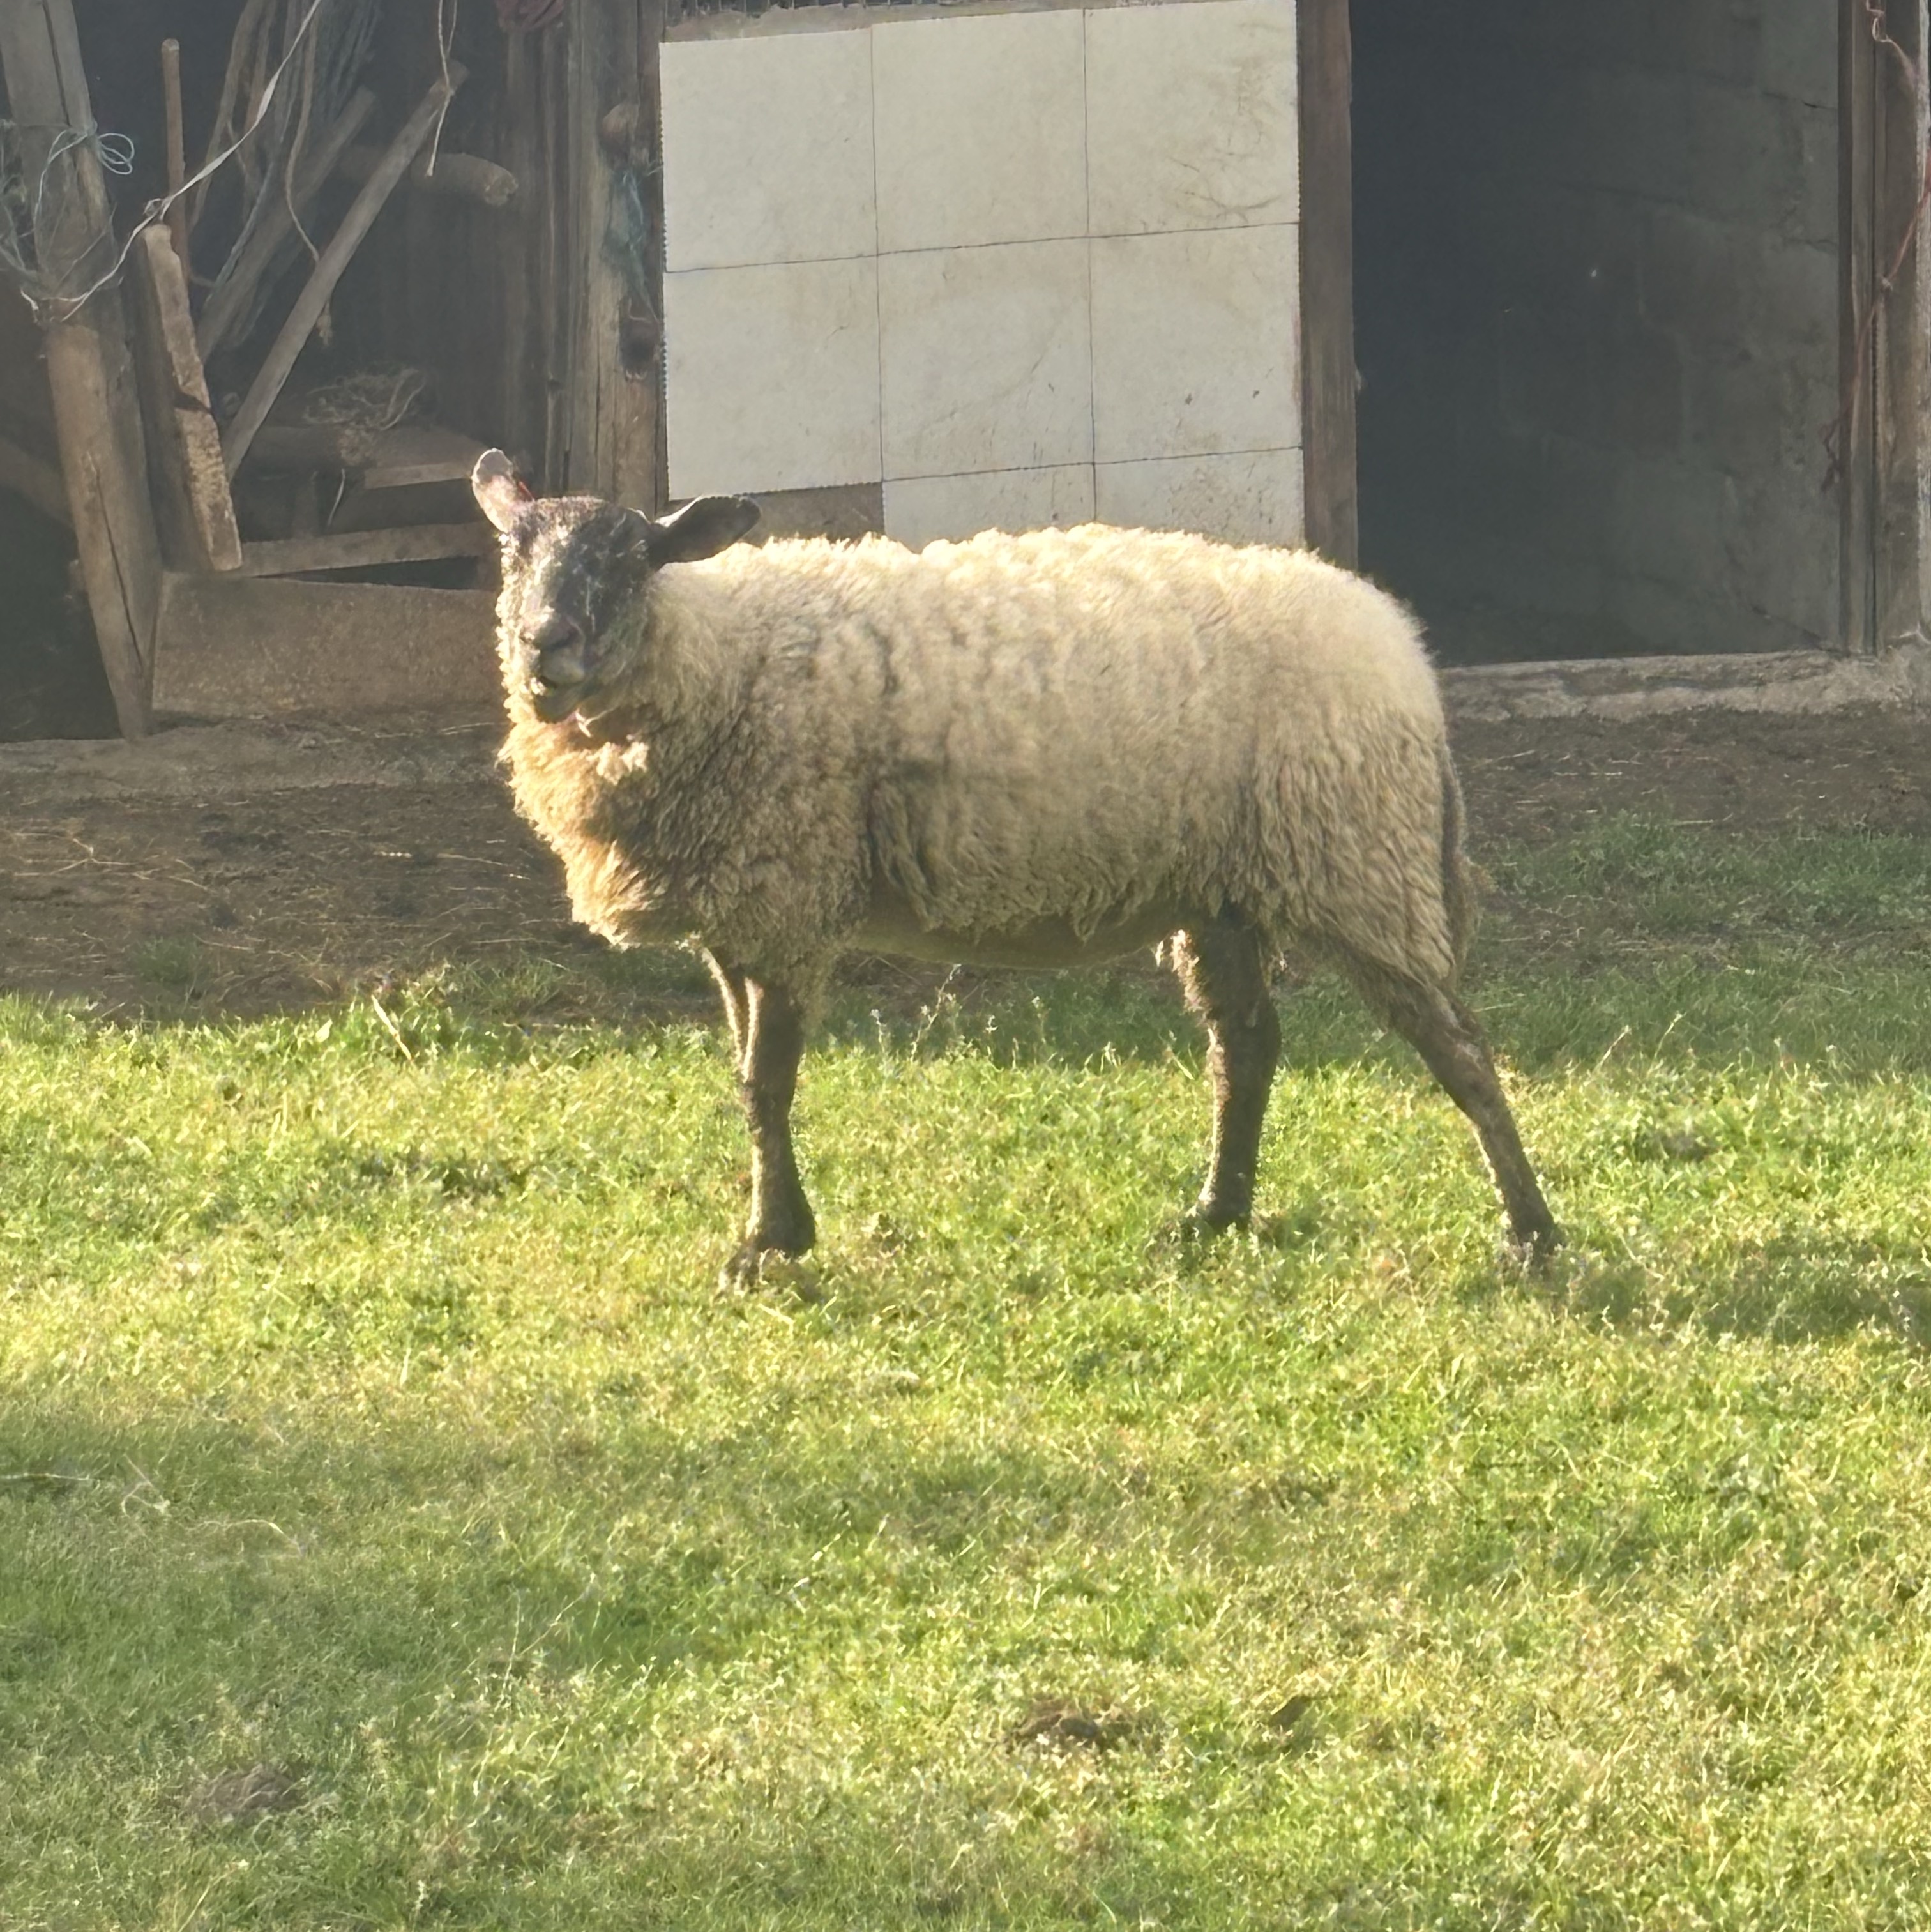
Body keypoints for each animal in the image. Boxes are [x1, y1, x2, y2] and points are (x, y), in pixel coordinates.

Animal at [470, 451, 1560, 1277]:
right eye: (514, 551)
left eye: (630, 557)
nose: (545, 645)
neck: (713, 654)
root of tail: (1407, 656)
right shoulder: (741, 913)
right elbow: (749, 1082)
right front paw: (775, 1231)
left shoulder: (786, 897)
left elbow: (765, 1084)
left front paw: (771, 1245)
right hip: (1225, 889)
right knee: (1248, 1046)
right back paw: (1214, 1214)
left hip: (1358, 859)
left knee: (1459, 1047)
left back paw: (1533, 1235)